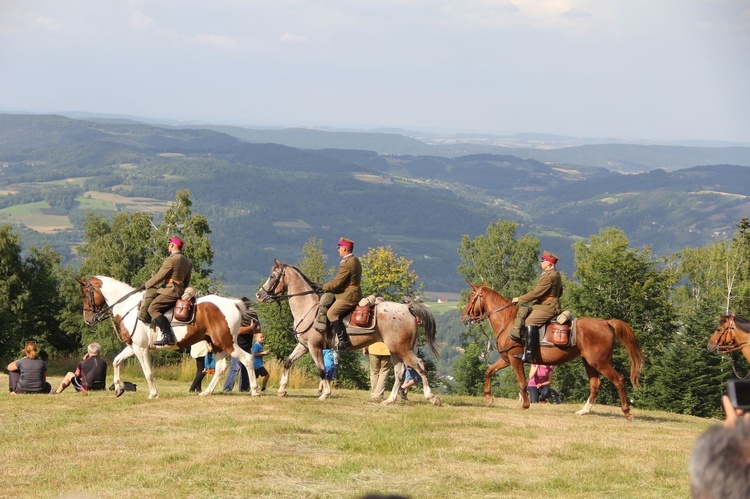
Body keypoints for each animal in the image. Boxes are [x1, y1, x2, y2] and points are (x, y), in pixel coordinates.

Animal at [78, 276, 262, 400]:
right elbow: (116, 361)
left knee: (247, 359)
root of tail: (233, 303)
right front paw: (119, 388)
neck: (128, 307)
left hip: (227, 342)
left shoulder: (140, 349)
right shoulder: (133, 346)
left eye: (85, 294)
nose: (88, 320)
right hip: (216, 344)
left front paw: (153, 394)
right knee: (221, 366)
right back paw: (206, 392)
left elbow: (147, 372)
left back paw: (254, 390)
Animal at [256, 262, 440, 406]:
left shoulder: (314, 347)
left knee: (420, 366)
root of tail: (406, 308)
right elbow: (288, 362)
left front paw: (325, 394)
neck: (309, 307)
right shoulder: (304, 345)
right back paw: (390, 400)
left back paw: (432, 397)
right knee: (399, 372)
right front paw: (282, 390)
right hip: (395, 350)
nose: (259, 294)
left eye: (273, 276)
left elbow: (321, 370)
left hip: (403, 349)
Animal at [458, 284, 648, 420]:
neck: (508, 321)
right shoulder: (506, 358)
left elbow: (522, 383)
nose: (463, 317)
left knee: (619, 380)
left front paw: (525, 405)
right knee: (595, 384)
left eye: (470, 298)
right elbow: (488, 372)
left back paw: (627, 412)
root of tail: (605, 323)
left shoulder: (515, 359)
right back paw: (584, 411)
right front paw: (489, 398)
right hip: (589, 362)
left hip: (600, 362)